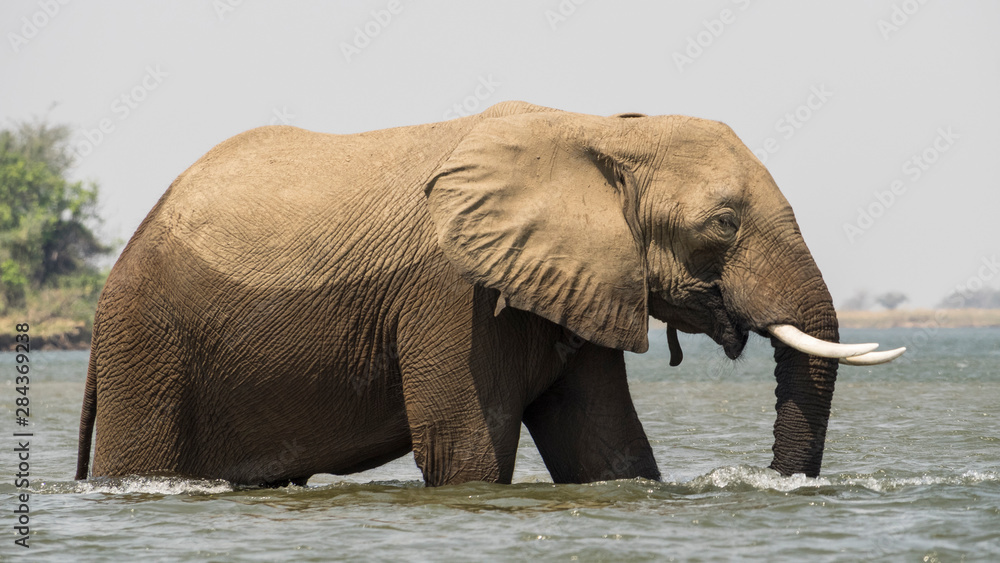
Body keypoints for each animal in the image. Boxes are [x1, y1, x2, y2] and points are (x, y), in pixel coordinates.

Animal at [75, 101, 903, 487]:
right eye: (724, 224)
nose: (771, 481)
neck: (599, 128)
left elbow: (607, 447)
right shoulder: (452, 292)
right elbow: (465, 449)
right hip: (150, 342)